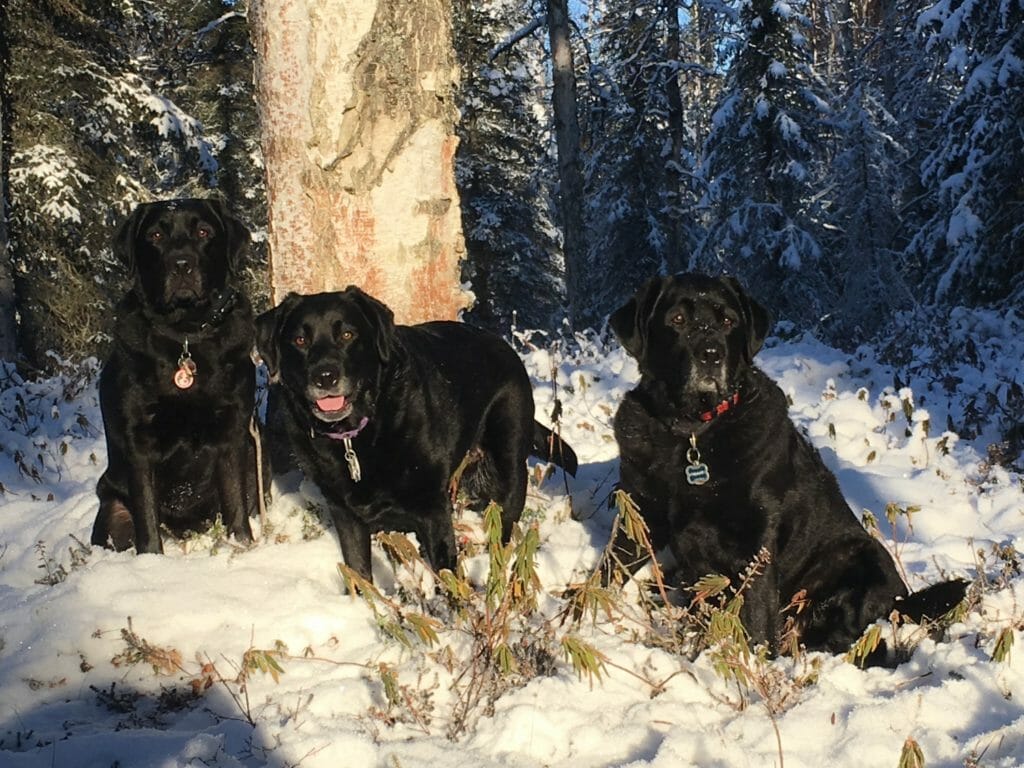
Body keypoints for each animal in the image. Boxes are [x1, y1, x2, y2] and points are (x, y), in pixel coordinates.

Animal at [91, 198, 264, 552]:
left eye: (204, 231)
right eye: (156, 235)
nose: (181, 264)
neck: (185, 333)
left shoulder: (233, 430)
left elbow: (235, 501)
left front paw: (242, 544)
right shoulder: (138, 441)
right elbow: (146, 516)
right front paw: (152, 559)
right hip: (113, 508)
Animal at [256, 288, 577, 581]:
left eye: (347, 334)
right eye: (300, 340)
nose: (325, 376)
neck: (356, 435)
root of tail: (504, 346)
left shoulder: (432, 507)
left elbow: (447, 575)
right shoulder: (345, 512)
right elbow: (359, 572)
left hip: (506, 466)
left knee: (504, 529)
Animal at [610, 274, 962, 655]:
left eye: (728, 321)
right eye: (677, 319)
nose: (711, 353)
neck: (693, 434)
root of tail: (902, 599)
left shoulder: (757, 537)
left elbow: (757, 616)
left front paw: (756, 661)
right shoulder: (640, 511)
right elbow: (609, 569)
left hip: (862, 561)